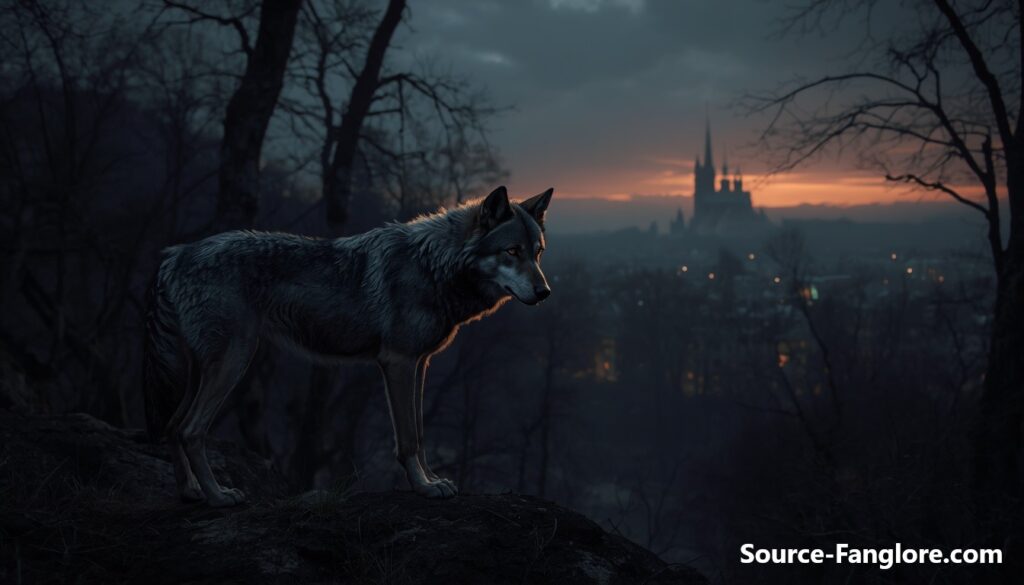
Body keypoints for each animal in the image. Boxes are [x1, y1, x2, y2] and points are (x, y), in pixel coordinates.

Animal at [142, 186, 553, 506]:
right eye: (512, 251)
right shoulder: (398, 363)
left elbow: (420, 434)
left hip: (204, 369)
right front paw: (423, 488)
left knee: (173, 425)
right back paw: (218, 496)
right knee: (191, 429)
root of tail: (175, 254)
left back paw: (191, 492)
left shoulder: (420, 364)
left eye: (537, 253)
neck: (434, 264)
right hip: (233, 362)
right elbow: (408, 439)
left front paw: (433, 480)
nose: (545, 292)